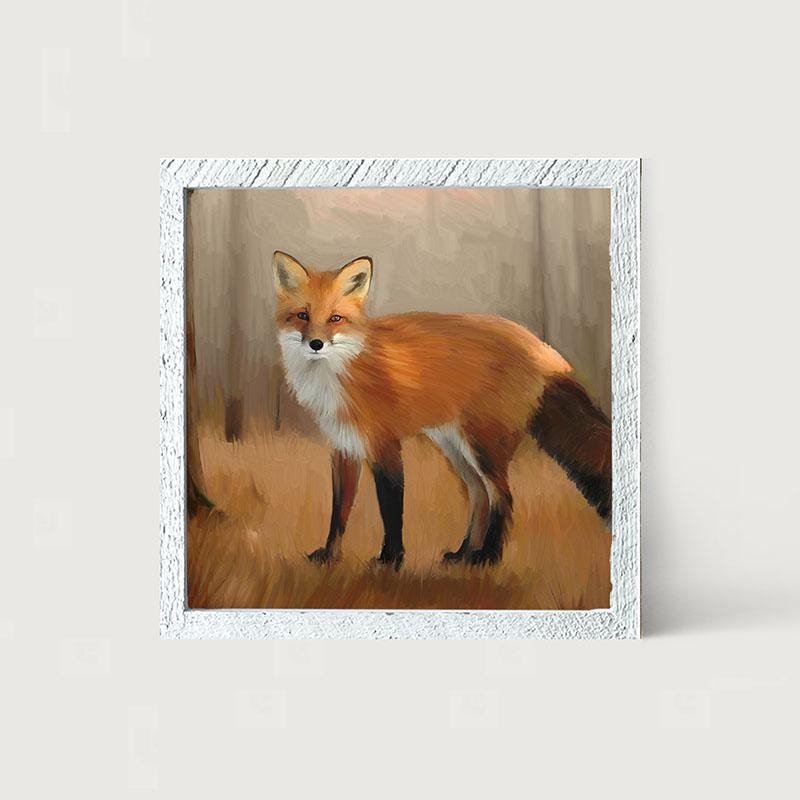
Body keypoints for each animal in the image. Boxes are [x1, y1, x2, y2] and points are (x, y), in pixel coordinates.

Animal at [272, 250, 612, 569]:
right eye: (302, 315)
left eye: (335, 318)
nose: (316, 344)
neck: (341, 373)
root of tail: (542, 348)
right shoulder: (344, 448)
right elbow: (339, 512)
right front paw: (330, 556)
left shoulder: (385, 445)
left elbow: (391, 509)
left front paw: (391, 560)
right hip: (455, 447)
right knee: (479, 495)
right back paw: (463, 554)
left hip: (483, 446)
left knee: (503, 496)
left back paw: (488, 557)